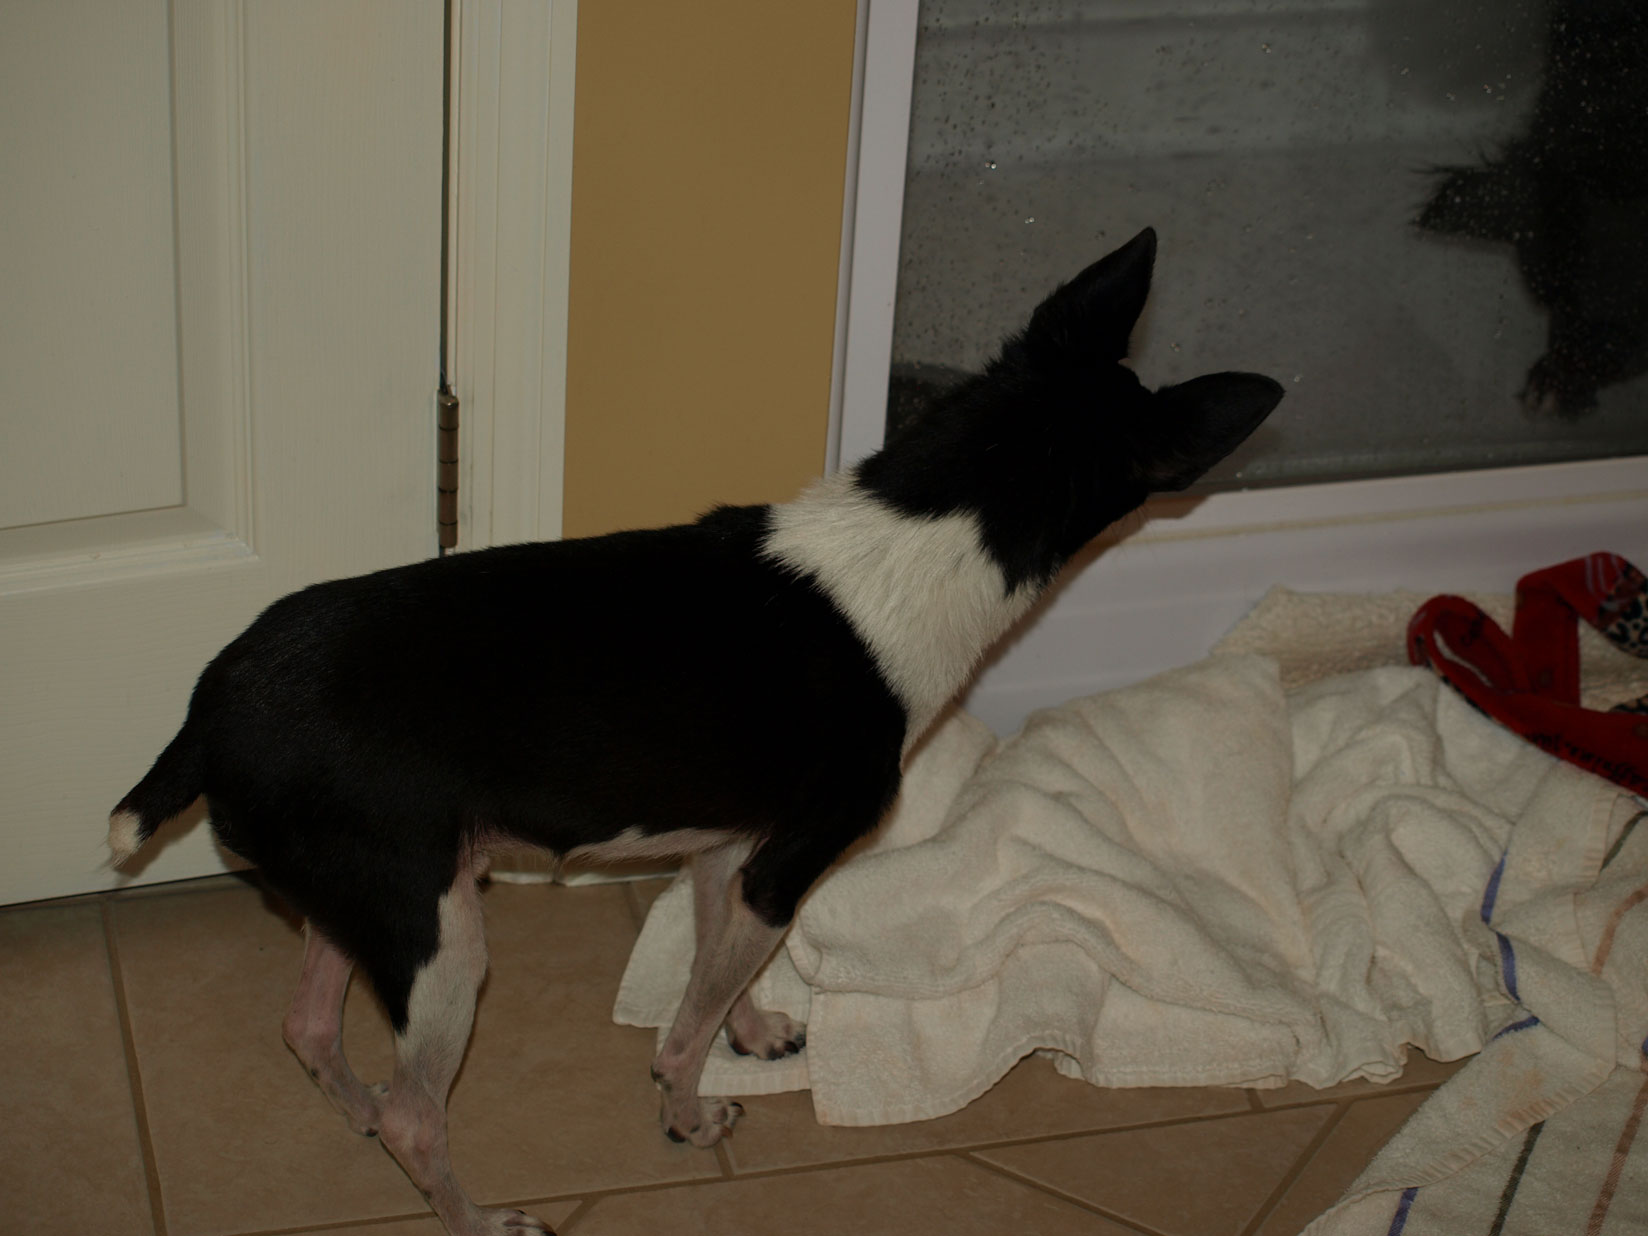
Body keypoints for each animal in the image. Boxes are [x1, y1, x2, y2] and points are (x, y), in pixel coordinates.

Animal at [108, 228, 1282, 1236]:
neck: (925, 530)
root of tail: (211, 707)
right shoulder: (788, 859)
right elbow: (688, 1025)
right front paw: (686, 1108)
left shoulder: (731, 850)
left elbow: (718, 974)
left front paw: (753, 1032)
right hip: (440, 942)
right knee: (414, 1114)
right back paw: (476, 1214)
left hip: (368, 900)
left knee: (311, 1029)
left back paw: (354, 1108)